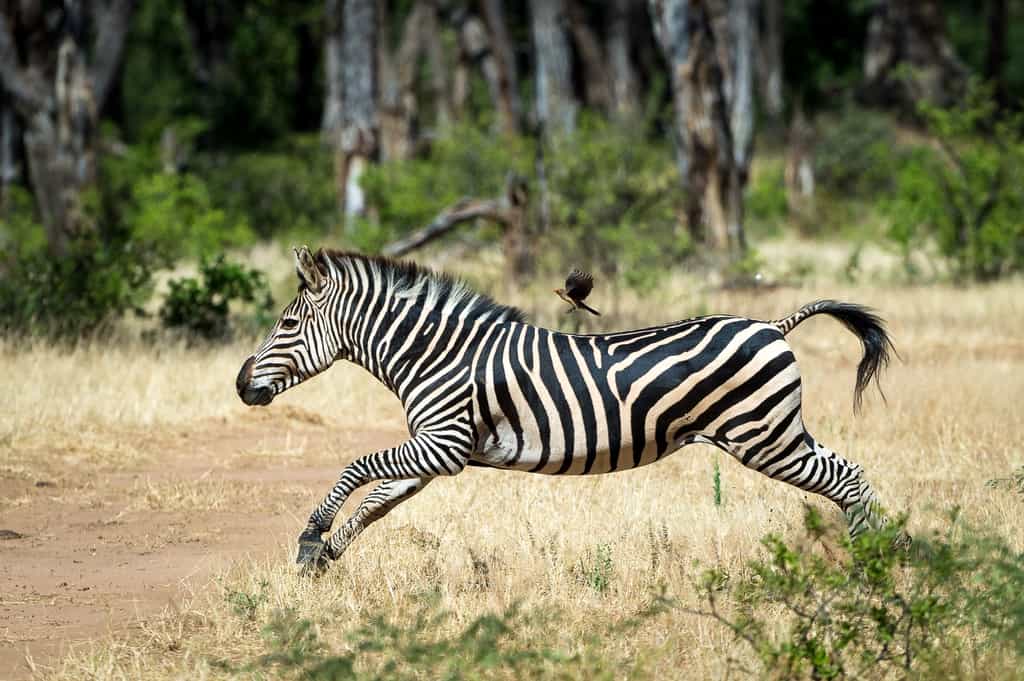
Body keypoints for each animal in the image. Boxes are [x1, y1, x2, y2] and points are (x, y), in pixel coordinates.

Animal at [236, 247, 898, 572]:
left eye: (287, 324)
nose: (242, 386)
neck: (437, 353)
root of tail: (771, 324)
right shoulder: (435, 452)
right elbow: (376, 502)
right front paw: (323, 558)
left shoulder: (443, 444)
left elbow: (357, 467)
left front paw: (309, 538)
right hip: (778, 432)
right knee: (850, 476)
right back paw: (876, 560)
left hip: (764, 437)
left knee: (849, 479)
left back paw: (869, 568)